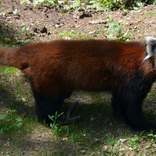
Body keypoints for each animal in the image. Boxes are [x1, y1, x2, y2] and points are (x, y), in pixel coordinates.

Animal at [0, 36, 156, 133]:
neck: (143, 60)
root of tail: (33, 51)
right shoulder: (133, 79)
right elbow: (131, 106)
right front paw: (145, 125)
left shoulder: (121, 83)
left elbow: (118, 100)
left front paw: (118, 114)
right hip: (49, 81)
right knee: (46, 106)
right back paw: (54, 121)